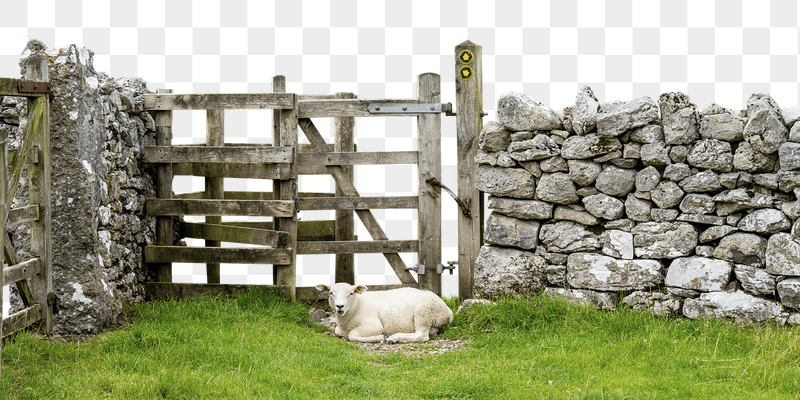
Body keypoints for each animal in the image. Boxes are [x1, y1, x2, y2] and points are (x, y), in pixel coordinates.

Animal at [315, 283, 454, 343]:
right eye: (331, 293)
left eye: (351, 293)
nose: (340, 306)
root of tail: (448, 310)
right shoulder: (340, 328)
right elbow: (337, 331)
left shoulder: (374, 325)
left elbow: (352, 335)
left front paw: (380, 337)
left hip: (423, 311)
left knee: (422, 335)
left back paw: (394, 338)